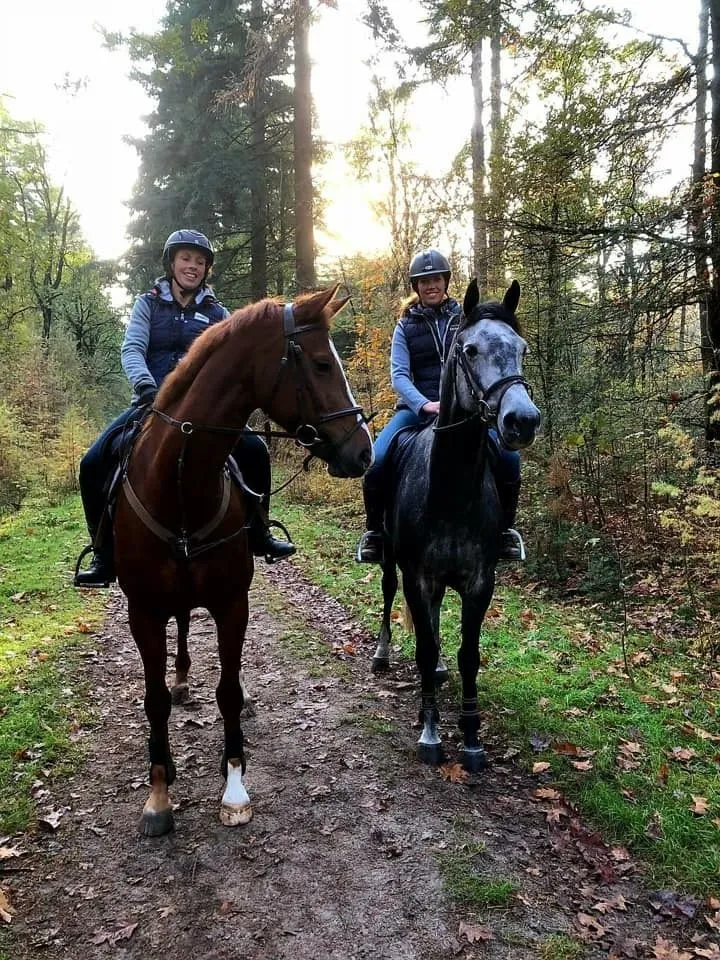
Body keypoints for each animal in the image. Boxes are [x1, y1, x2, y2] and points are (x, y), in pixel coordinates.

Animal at [112, 285, 373, 836]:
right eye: (322, 364)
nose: (364, 453)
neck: (182, 484)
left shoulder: (233, 603)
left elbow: (228, 691)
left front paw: (233, 787)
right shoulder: (143, 611)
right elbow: (154, 700)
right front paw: (159, 792)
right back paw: (181, 682)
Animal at [370, 279, 541, 771]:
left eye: (522, 348)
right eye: (469, 350)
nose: (523, 421)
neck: (449, 489)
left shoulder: (479, 580)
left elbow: (469, 654)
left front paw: (470, 735)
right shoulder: (417, 576)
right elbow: (424, 648)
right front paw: (430, 732)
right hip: (390, 559)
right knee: (388, 592)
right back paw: (383, 653)